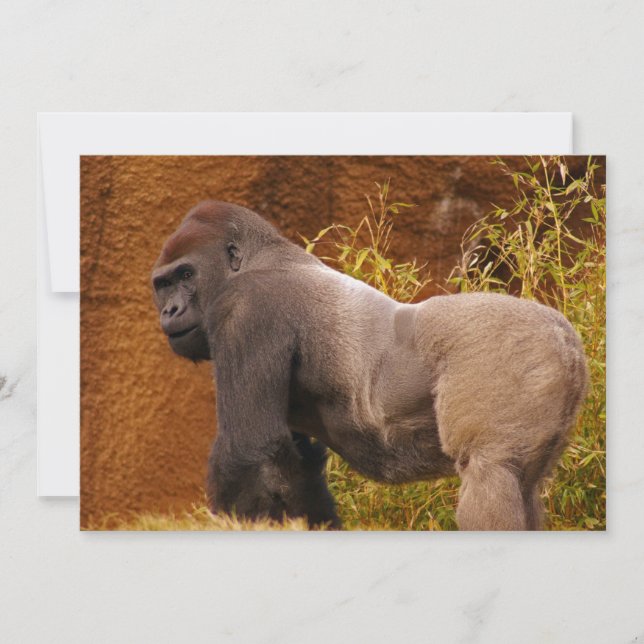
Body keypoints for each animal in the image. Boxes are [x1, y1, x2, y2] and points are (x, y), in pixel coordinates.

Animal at [151, 200, 588, 530]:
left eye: (186, 274)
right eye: (163, 285)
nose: (170, 311)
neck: (259, 257)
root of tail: (563, 335)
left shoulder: (246, 310)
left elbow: (250, 449)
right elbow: (294, 468)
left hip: (509, 348)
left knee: (491, 474)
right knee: (523, 485)